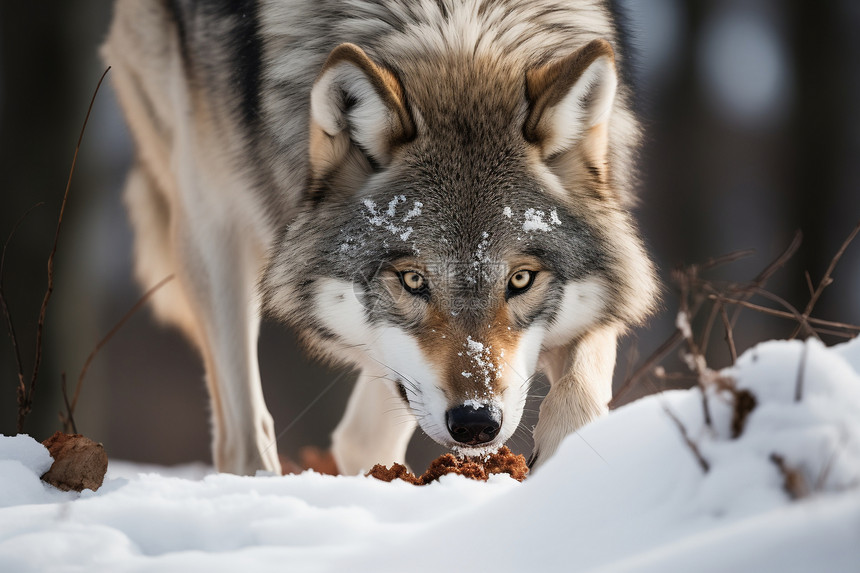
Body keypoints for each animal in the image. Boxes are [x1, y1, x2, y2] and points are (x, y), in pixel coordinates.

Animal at [106, 0, 660, 474]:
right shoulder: (213, 213)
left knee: (360, 436)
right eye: (413, 280)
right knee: (249, 435)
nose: (476, 424)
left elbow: (581, 400)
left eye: (521, 280)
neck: (458, 28)